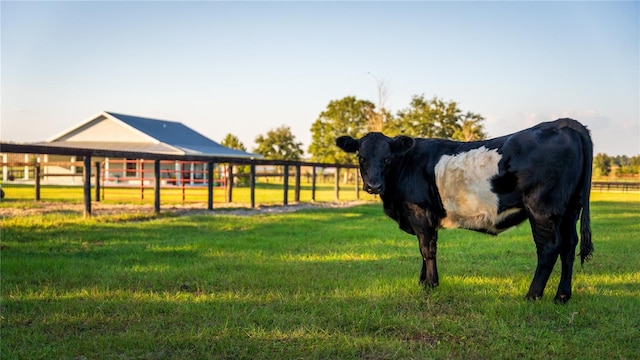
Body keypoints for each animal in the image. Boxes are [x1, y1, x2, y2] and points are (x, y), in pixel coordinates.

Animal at [338, 119, 592, 304]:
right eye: (361, 157)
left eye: (387, 158)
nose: (373, 185)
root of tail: (563, 124)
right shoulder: (427, 220)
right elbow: (425, 250)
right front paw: (423, 281)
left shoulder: (420, 213)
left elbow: (427, 250)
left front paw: (431, 285)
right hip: (570, 209)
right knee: (569, 246)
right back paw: (562, 296)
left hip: (542, 209)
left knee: (549, 248)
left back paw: (533, 295)